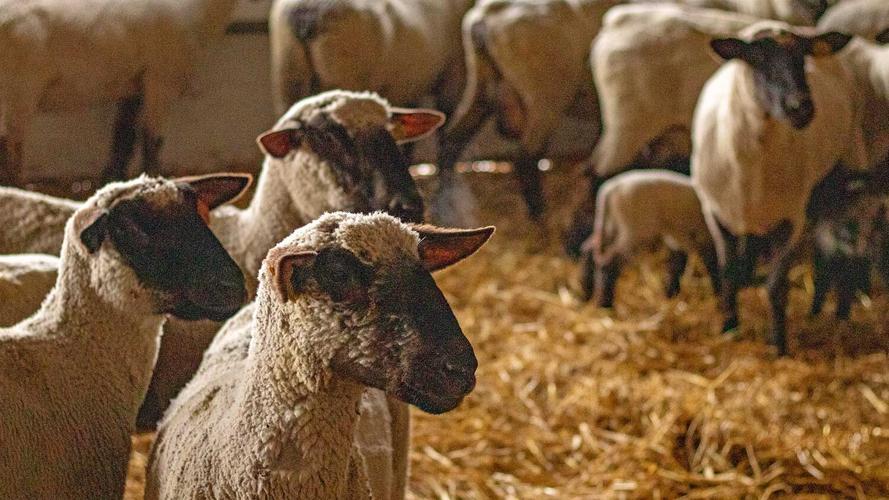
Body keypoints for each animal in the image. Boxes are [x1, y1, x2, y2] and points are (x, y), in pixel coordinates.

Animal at [0, 0, 247, 186]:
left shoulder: (133, 85)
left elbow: (123, 137)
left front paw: (112, 181)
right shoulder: (160, 79)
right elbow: (151, 141)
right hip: (20, 88)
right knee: (11, 148)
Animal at [440, 0, 619, 222]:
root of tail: (488, 13)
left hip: (481, 83)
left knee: (452, 138)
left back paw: (446, 201)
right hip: (545, 96)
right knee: (526, 155)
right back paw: (538, 213)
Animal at [578, 170, 720, 307]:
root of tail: (609, 191)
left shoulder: (681, 238)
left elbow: (677, 265)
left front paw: (671, 295)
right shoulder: (704, 238)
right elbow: (712, 265)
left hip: (610, 226)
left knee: (589, 249)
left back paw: (586, 293)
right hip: (633, 231)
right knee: (610, 260)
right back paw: (604, 304)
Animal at [691, 23, 859, 355]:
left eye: (803, 58)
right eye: (755, 60)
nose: (801, 108)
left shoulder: (792, 218)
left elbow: (776, 286)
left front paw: (778, 344)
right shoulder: (715, 213)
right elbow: (727, 273)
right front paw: (729, 328)